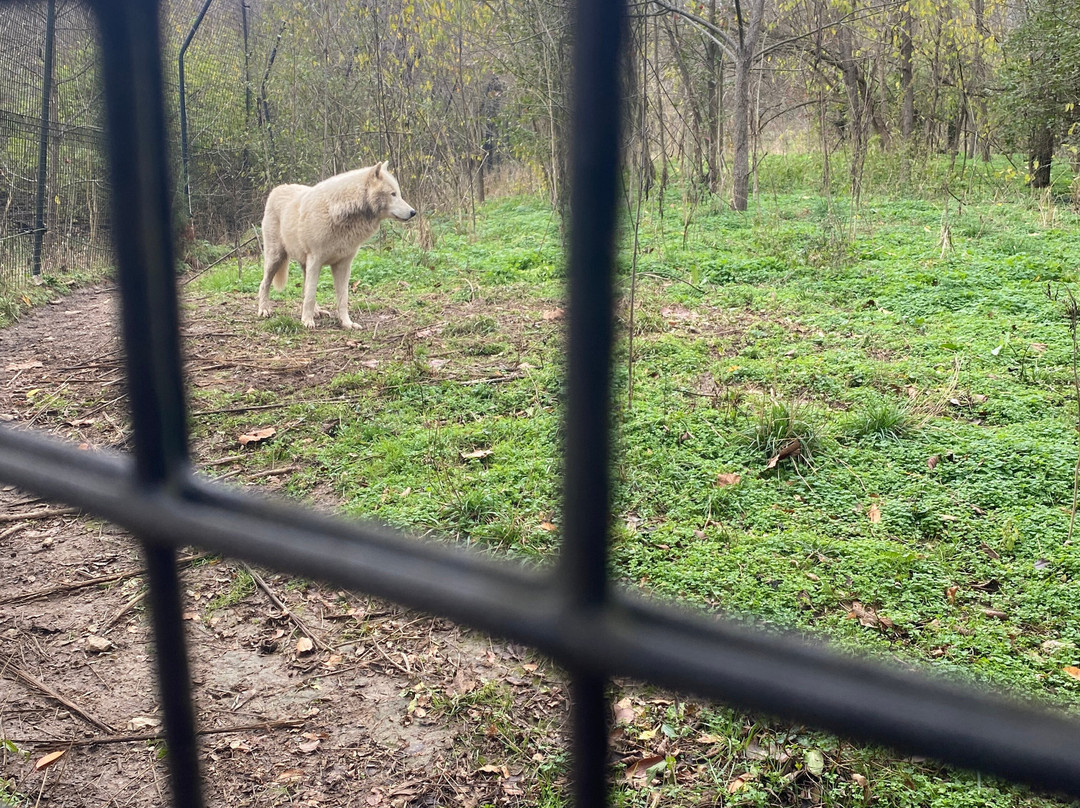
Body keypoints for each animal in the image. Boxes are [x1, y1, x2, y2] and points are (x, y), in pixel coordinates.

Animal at [257, 160, 416, 328]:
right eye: (393, 194)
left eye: (398, 193)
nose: (413, 212)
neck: (339, 212)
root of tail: (277, 188)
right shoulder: (316, 261)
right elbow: (311, 294)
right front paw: (307, 321)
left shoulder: (343, 265)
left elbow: (342, 298)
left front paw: (347, 323)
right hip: (276, 258)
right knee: (264, 284)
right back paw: (264, 310)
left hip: (303, 263)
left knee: (304, 288)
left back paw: (317, 312)